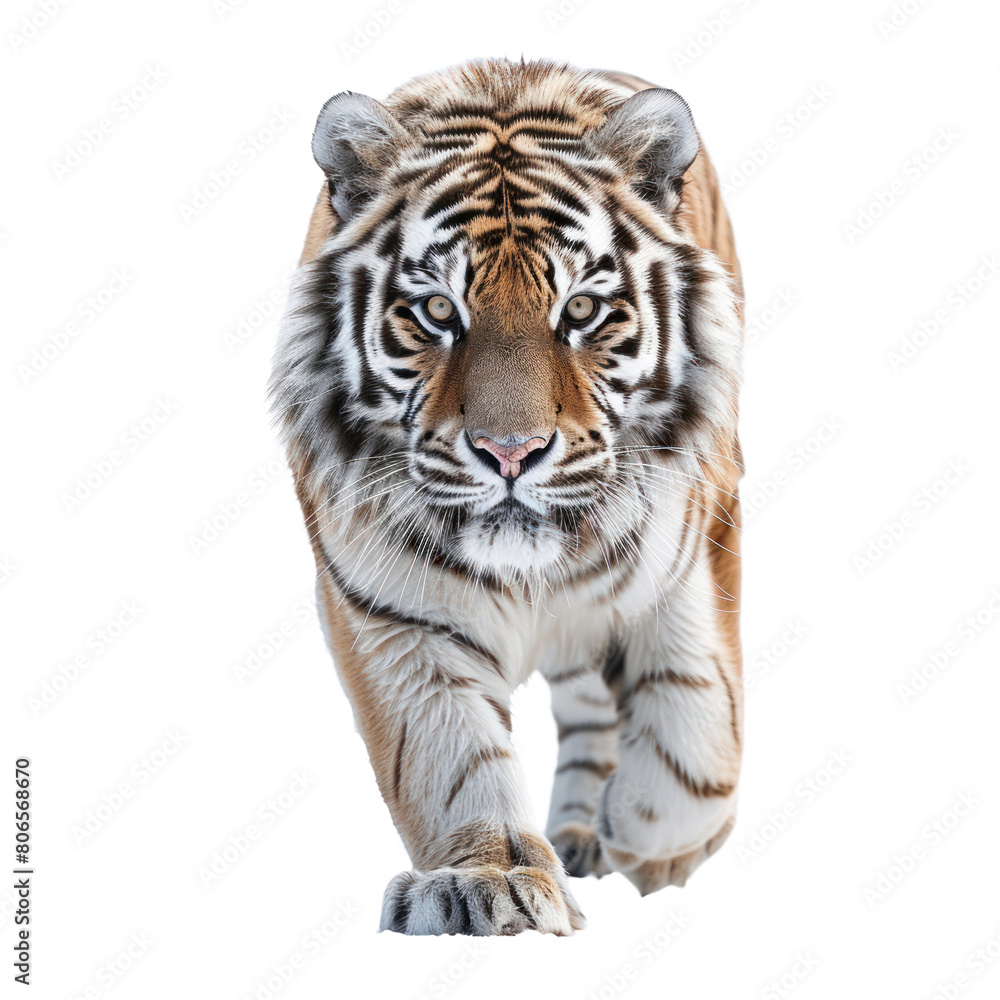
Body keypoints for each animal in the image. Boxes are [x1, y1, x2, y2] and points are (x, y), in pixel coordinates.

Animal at [270, 57, 744, 936]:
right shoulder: (393, 613)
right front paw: (486, 880)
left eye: (581, 310)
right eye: (436, 311)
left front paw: (650, 834)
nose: (510, 452)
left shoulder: (692, 548)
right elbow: (448, 757)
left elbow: (697, 726)